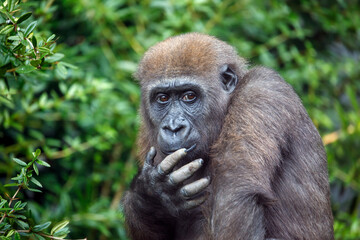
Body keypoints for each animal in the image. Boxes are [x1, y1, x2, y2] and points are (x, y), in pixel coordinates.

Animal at [121, 32, 334, 240]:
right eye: (162, 98)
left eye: (189, 96)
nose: (173, 127)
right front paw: (151, 196)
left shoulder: (262, 92)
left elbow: (237, 199)